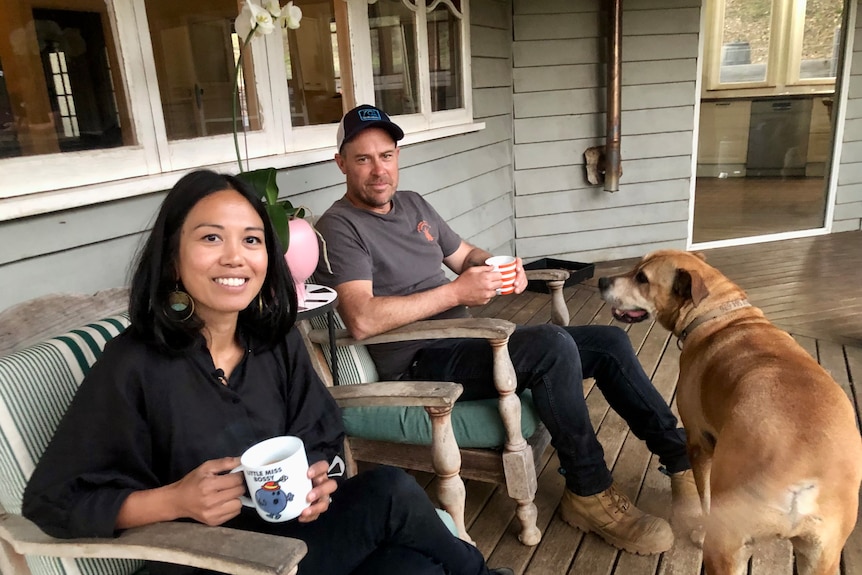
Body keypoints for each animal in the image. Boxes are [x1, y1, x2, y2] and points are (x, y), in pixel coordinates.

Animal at [600, 250, 862, 572]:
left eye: (642, 278)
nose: (601, 280)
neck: (720, 312)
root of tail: (801, 484)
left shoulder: (699, 443)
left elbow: (705, 497)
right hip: (822, 557)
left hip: (726, 545)